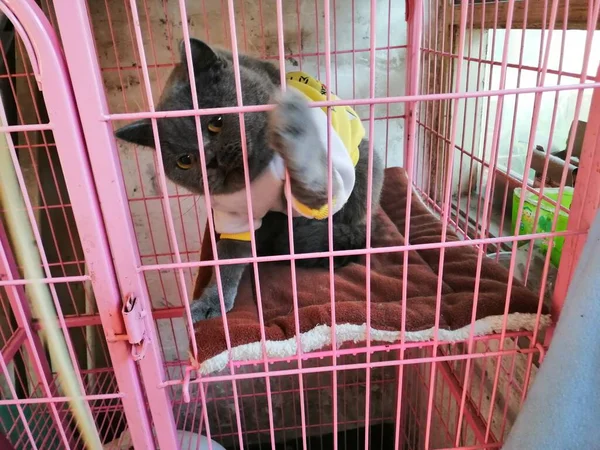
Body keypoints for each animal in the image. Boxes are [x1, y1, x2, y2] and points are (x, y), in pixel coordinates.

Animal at [116, 37, 384, 320]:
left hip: (366, 165)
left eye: (216, 122)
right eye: (184, 160)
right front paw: (210, 301)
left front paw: (291, 126)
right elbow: (228, 259)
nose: (211, 160)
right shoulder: (234, 214)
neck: (259, 178)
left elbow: (314, 184)